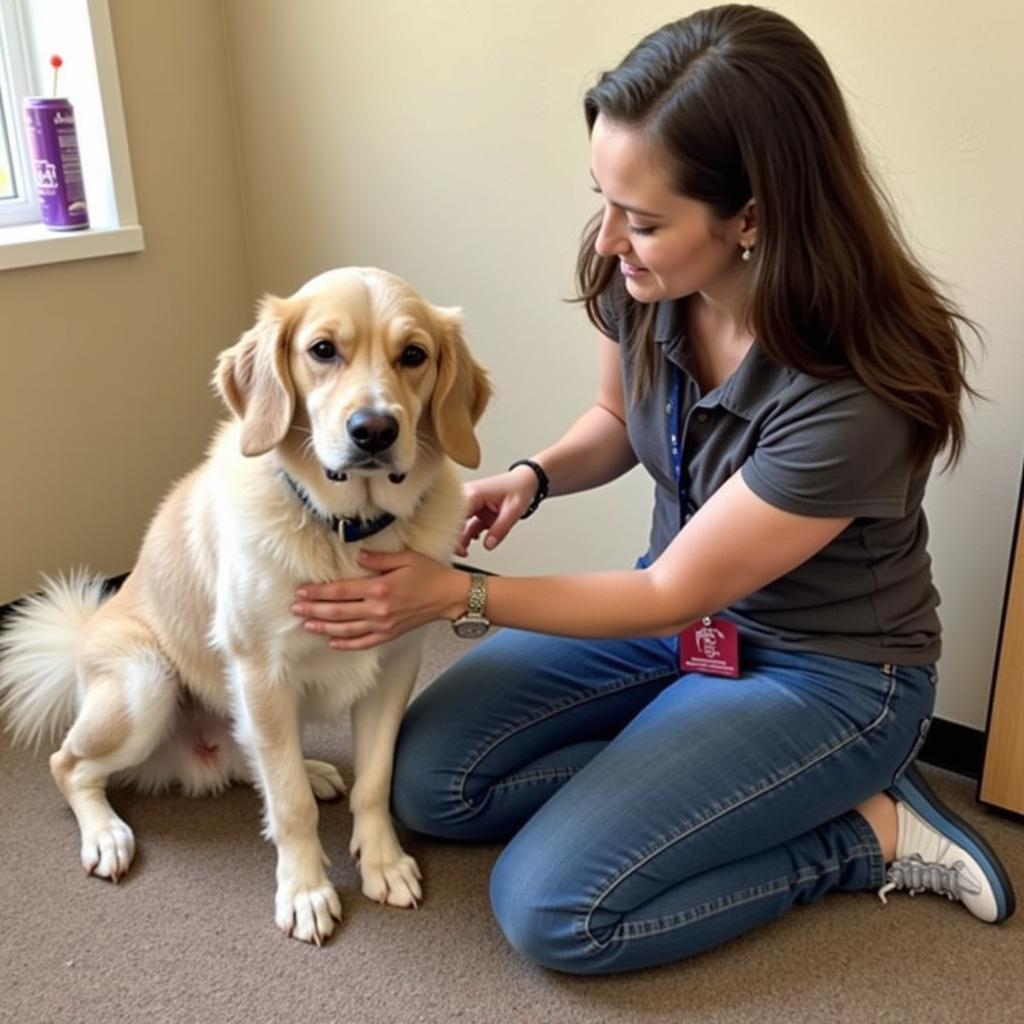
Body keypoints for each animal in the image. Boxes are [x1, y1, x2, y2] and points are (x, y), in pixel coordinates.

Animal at [0, 268, 491, 946]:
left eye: (413, 355)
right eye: (322, 351)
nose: (374, 430)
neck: (346, 531)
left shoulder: (394, 667)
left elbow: (374, 781)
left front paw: (383, 861)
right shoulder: (261, 672)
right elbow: (289, 804)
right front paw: (305, 889)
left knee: (252, 755)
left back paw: (311, 768)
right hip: (145, 682)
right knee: (70, 764)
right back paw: (106, 834)